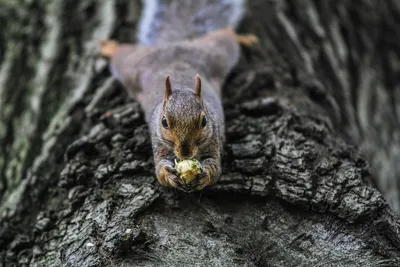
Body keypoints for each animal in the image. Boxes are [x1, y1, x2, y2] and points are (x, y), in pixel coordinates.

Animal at [98, 0, 258, 193]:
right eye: (164, 122)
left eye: (204, 121)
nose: (185, 153)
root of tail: (173, 44)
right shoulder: (158, 142)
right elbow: (160, 171)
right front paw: (169, 175)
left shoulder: (213, 139)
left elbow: (215, 168)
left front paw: (205, 175)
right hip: (132, 66)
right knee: (121, 54)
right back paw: (109, 47)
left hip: (216, 54)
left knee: (226, 36)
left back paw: (244, 38)